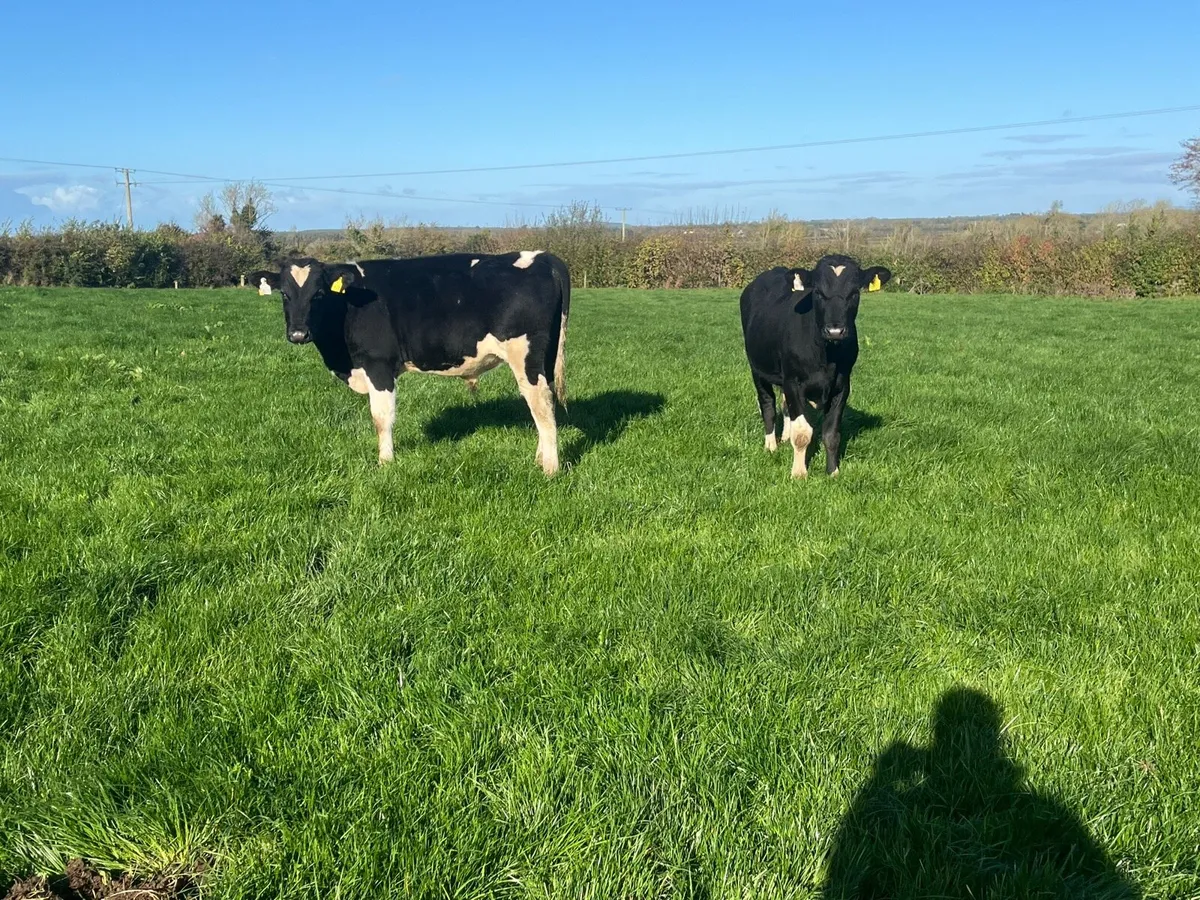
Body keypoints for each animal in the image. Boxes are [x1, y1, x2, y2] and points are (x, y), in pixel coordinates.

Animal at [250, 250, 570, 476]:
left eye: (318, 293)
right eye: (284, 294)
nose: (298, 334)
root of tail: (544, 256)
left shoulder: (378, 365)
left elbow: (381, 417)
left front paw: (385, 462)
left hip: (525, 356)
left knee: (540, 404)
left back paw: (550, 469)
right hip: (545, 357)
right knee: (544, 404)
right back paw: (541, 458)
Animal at [739, 254, 891, 478]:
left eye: (854, 293)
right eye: (818, 292)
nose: (835, 330)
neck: (826, 357)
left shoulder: (842, 386)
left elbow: (832, 433)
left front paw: (833, 472)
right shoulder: (793, 381)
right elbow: (802, 432)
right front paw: (799, 473)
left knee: (784, 405)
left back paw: (784, 437)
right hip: (757, 367)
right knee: (767, 404)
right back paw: (771, 445)